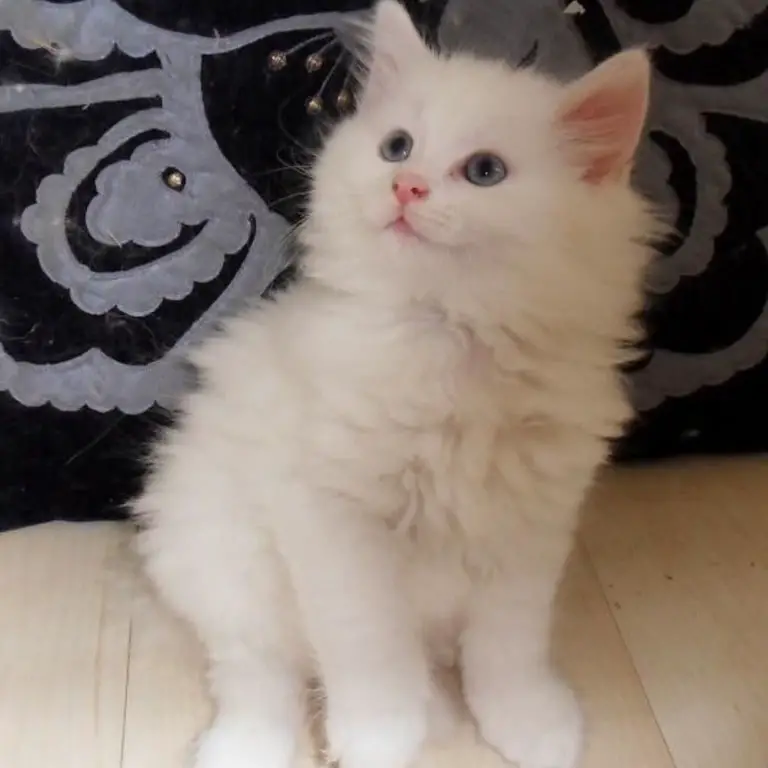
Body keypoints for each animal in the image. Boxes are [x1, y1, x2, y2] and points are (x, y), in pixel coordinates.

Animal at [134, 3, 660, 764]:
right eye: (397, 146)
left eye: (485, 171)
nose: (405, 186)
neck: (452, 342)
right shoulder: (333, 521)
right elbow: (370, 649)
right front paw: (379, 736)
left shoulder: (532, 527)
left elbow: (510, 648)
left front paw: (530, 725)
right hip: (227, 562)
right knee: (258, 674)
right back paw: (249, 746)